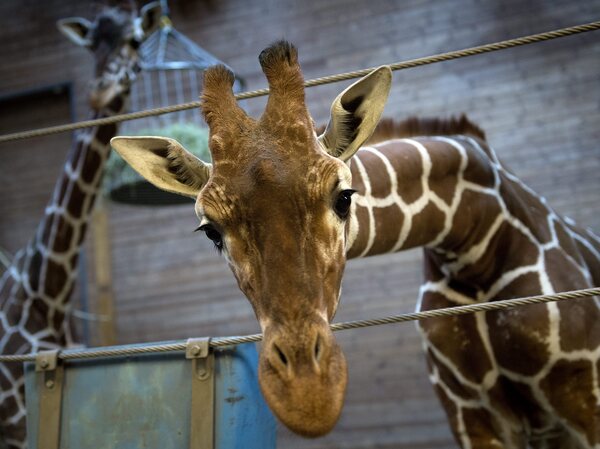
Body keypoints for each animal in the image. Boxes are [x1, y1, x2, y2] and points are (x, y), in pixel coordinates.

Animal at [110, 41, 596, 444]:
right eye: (211, 230)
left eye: (344, 197)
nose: (308, 396)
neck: (474, 242)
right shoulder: (469, 414)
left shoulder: (583, 397)